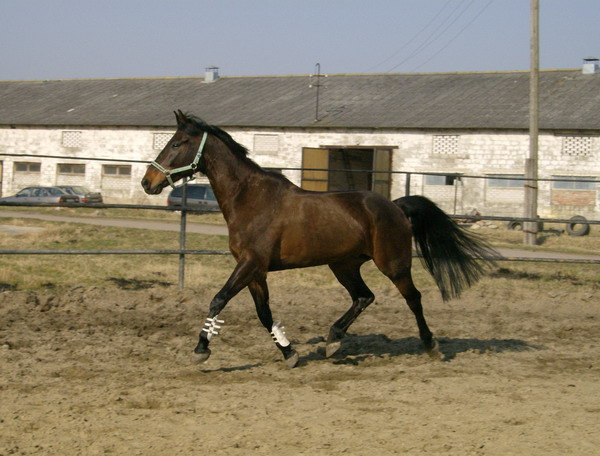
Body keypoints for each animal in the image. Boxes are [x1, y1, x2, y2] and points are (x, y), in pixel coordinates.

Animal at [142, 110, 496, 366]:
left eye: (176, 144)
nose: (148, 182)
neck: (250, 199)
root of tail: (395, 206)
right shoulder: (255, 270)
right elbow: (264, 313)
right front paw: (289, 353)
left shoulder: (250, 264)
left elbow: (219, 299)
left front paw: (201, 349)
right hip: (343, 265)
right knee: (364, 297)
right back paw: (333, 340)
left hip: (393, 264)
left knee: (413, 298)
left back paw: (430, 345)